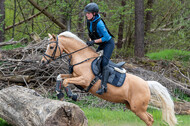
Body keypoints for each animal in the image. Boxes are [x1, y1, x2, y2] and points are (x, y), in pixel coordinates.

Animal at [40, 30, 177, 126]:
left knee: (149, 120)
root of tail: (146, 84)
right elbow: (60, 77)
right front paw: (59, 94)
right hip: (132, 106)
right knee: (150, 118)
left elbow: (66, 81)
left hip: (138, 108)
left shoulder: (84, 80)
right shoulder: (75, 76)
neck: (82, 58)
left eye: (51, 47)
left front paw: (72, 95)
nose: (42, 62)